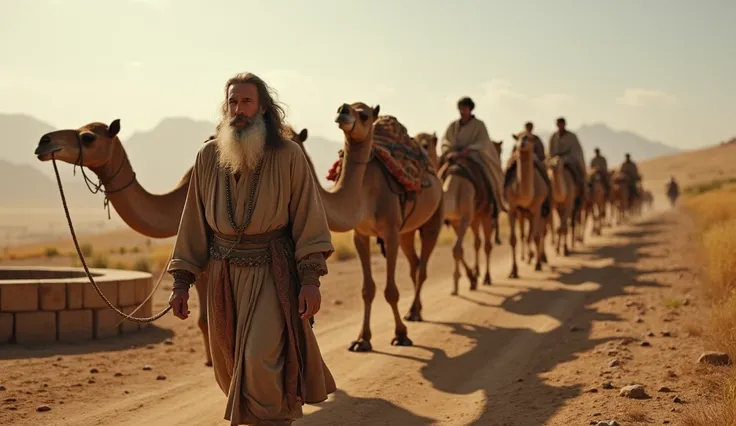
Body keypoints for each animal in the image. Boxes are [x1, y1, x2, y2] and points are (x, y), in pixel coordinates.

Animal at [294, 103, 442, 352]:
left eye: (363, 114)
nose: (343, 109)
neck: (365, 193)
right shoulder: (360, 235)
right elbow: (367, 289)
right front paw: (362, 339)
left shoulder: (390, 232)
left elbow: (390, 291)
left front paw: (401, 335)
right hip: (407, 232)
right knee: (414, 264)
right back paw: (416, 311)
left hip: (433, 217)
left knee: (422, 268)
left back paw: (413, 312)